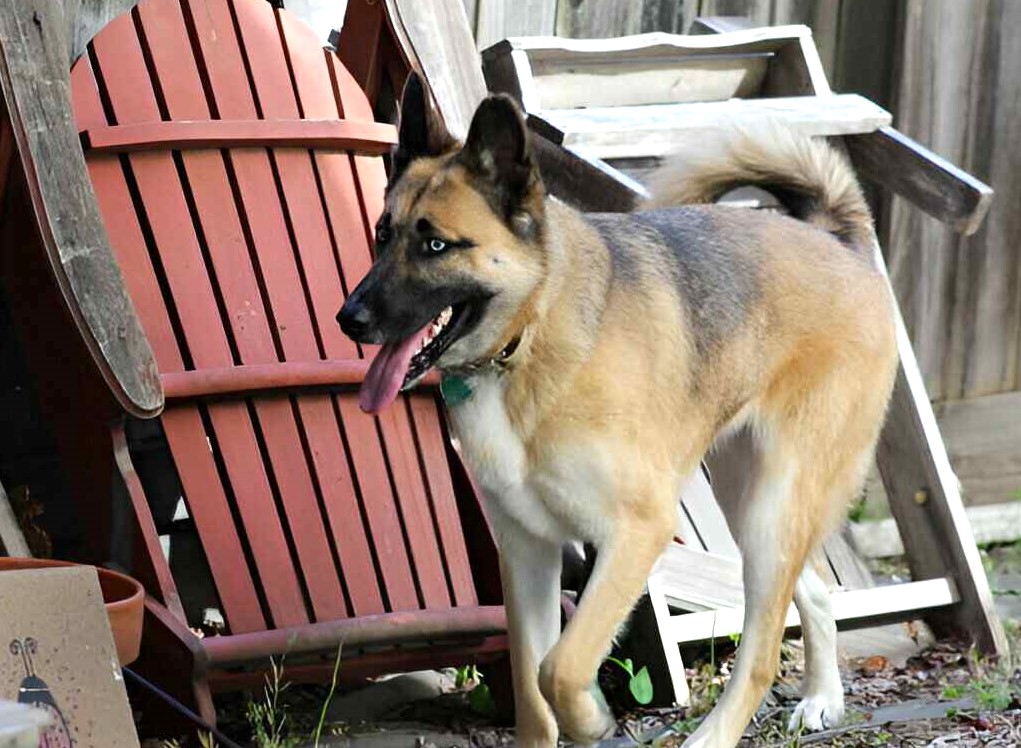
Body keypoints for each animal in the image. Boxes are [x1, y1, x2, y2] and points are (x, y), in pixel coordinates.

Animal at [338, 71, 898, 746]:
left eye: (436, 244)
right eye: (383, 235)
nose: (348, 319)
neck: (529, 333)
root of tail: (834, 238)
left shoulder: (637, 532)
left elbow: (560, 667)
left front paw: (592, 719)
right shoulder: (526, 551)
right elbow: (532, 688)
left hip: (774, 507)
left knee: (762, 652)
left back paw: (716, 733)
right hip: (753, 504)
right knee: (815, 590)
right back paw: (822, 699)